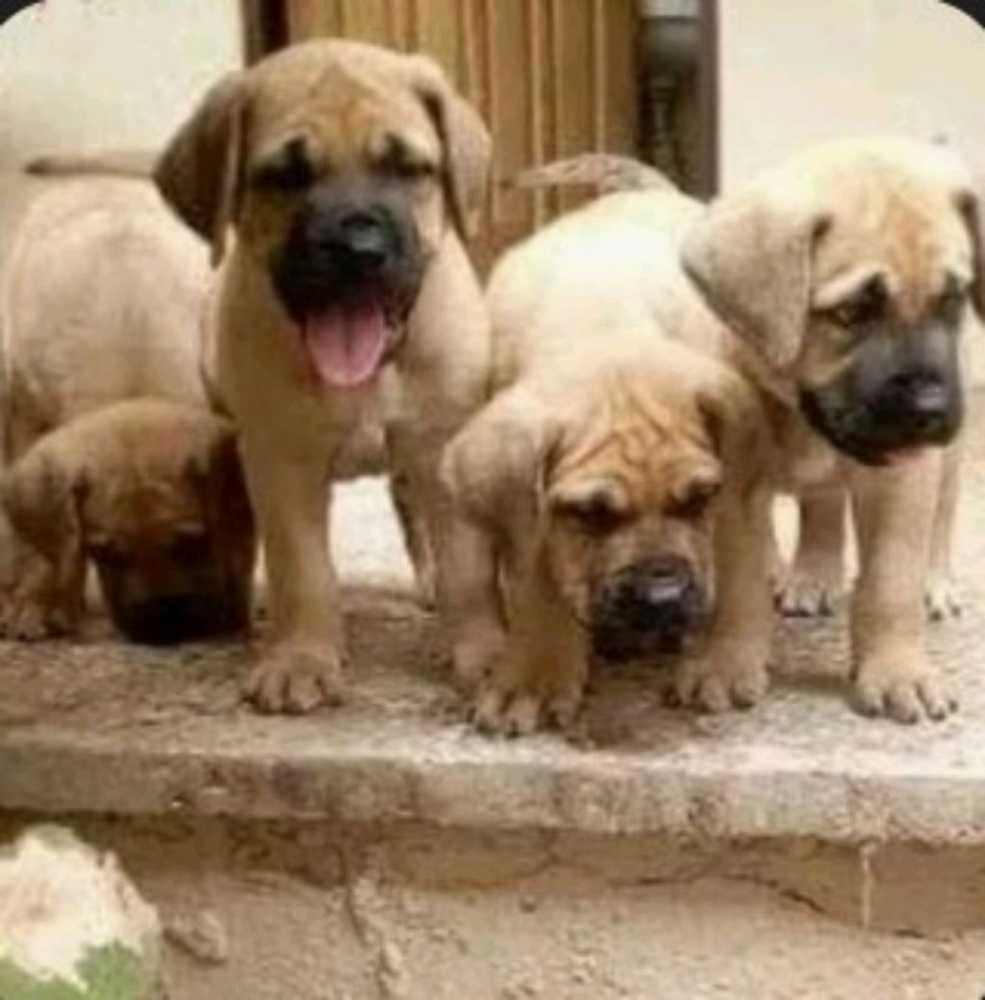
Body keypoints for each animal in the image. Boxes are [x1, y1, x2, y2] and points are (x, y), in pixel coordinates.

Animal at [150, 39, 493, 712]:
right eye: (285, 176)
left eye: (407, 168)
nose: (359, 249)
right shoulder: (281, 456)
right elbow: (300, 566)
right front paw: (301, 658)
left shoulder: (442, 440)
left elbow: (466, 562)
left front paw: (488, 653)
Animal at [441, 183, 771, 734]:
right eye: (589, 514)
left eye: (697, 500)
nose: (663, 599)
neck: (603, 323)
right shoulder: (532, 517)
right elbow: (541, 575)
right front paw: (535, 675)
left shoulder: (727, 493)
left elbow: (736, 554)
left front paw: (722, 660)